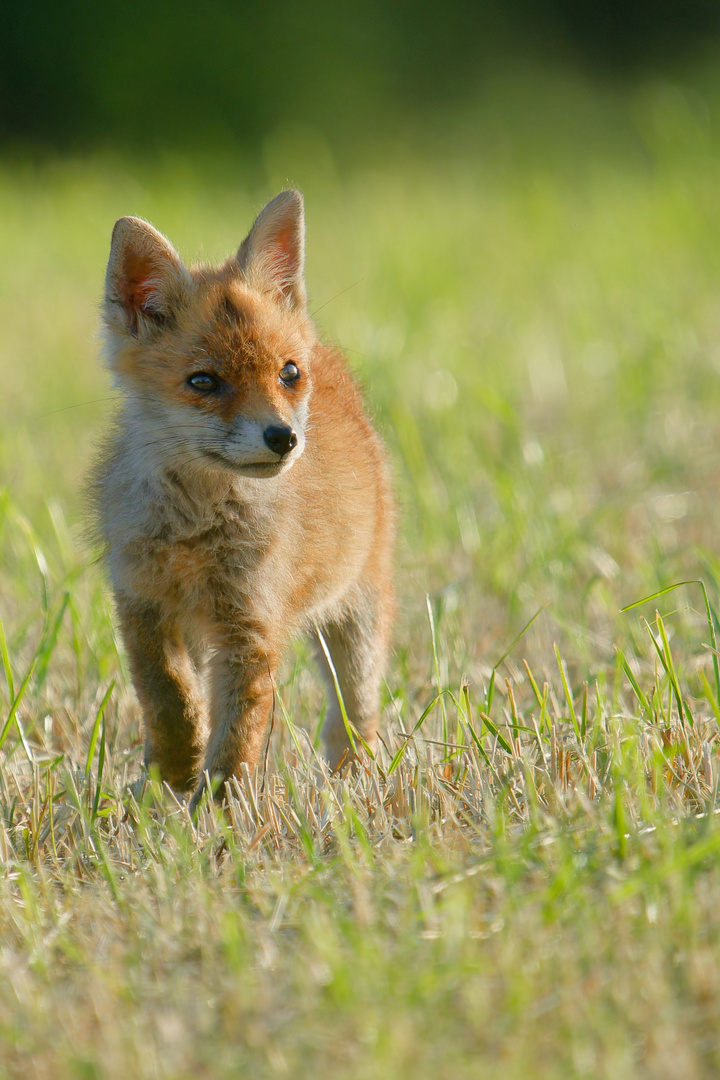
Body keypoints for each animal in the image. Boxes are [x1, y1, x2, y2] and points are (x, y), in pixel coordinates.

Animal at [94, 192, 395, 812]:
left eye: (287, 373)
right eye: (204, 381)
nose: (284, 438)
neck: (196, 527)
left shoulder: (251, 623)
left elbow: (238, 731)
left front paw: (220, 809)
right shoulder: (141, 604)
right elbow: (170, 701)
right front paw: (173, 774)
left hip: (357, 621)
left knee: (355, 715)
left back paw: (353, 781)